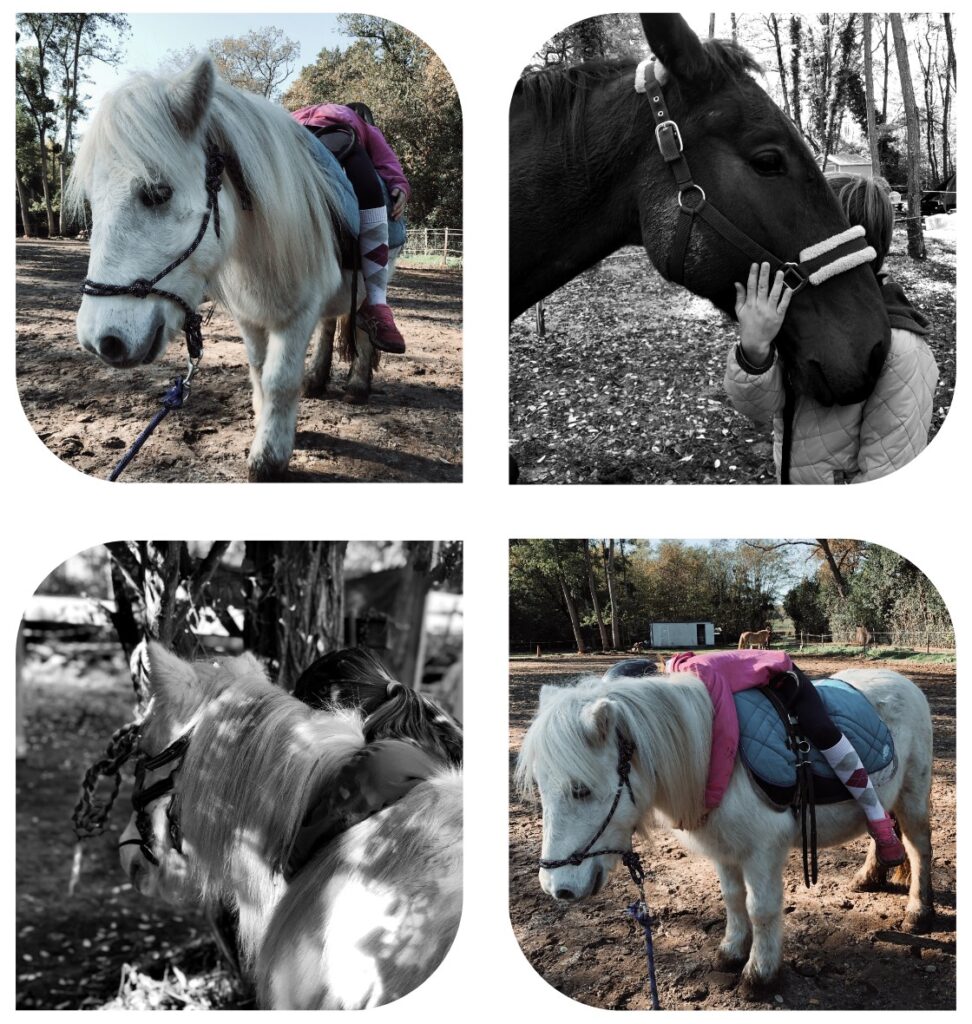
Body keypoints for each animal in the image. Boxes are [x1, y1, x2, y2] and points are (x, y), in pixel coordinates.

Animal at [66, 57, 395, 481]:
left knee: (367, 323)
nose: (100, 342)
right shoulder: (249, 316)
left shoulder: (297, 316)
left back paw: (357, 384)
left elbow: (279, 378)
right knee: (330, 327)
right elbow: (258, 369)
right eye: (93, 201)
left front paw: (269, 457)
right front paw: (268, 424)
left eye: (158, 193)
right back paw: (317, 380)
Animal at [516, 668, 934, 997]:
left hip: (913, 794)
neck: (713, 755)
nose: (557, 888)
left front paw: (760, 974)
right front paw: (732, 951)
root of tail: (903, 681)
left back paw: (918, 911)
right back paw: (869, 875)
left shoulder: (762, 852)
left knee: (918, 848)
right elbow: (733, 899)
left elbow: (761, 908)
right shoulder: (724, 848)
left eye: (581, 789)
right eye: (541, 786)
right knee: (881, 826)